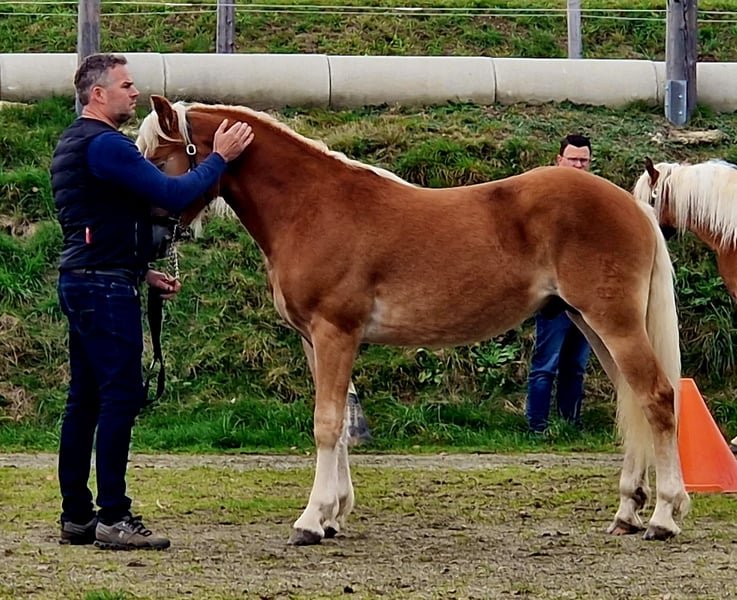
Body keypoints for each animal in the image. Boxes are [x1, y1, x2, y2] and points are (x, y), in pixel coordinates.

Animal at [136, 95, 689, 544]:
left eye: (157, 158)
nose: (150, 238)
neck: (311, 206)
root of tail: (634, 208)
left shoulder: (335, 333)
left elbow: (326, 423)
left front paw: (312, 520)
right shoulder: (315, 340)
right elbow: (338, 424)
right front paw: (335, 515)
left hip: (614, 323)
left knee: (657, 398)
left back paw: (663, 516)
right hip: (590, 324)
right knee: (633, 400)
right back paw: (627, 512)